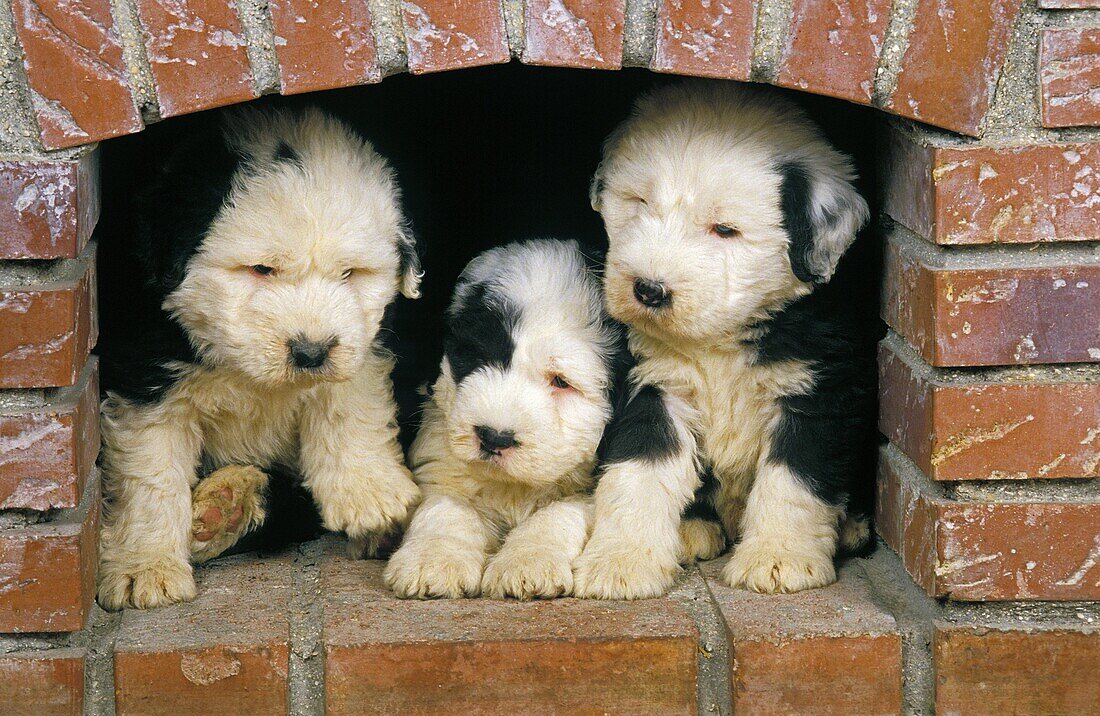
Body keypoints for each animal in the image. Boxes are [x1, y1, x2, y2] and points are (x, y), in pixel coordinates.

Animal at [96, 106, 422, 611]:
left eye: (350, 273)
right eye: (261, 269)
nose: (311, 353)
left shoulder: (366, 338)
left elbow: (349, 401)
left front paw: (368, 493)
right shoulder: (146, 377)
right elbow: (150, 475)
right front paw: (143, 567)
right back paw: (221, 507)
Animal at [389, 239, 624, 598]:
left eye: (561, 381)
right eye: (478, 358)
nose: (494, 438)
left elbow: (558, 510)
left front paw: (526, 564)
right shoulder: (442, 459)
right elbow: (445, 507)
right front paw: (431, 560)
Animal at [576, 82, 875, 598]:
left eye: (725, 229)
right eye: (639, 203)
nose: (649, 290)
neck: (719, 340)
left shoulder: (817, 391)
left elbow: (793, 480)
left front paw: (779, 559)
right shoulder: (652, 385)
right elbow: (638, 473)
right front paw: (620, 563)